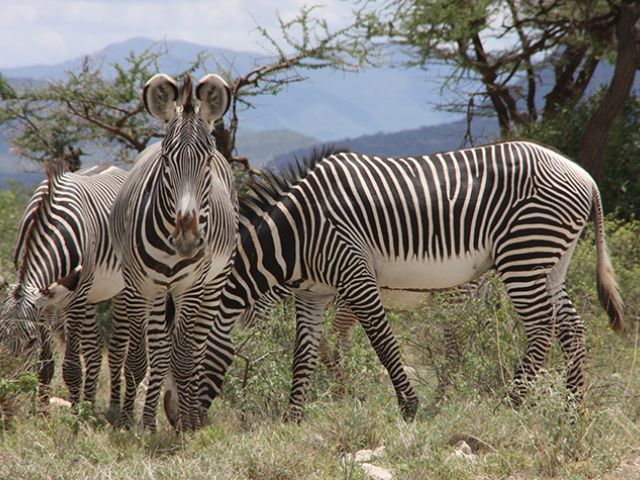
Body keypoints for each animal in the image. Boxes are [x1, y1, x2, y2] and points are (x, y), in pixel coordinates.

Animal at [0, 162, 127, 408]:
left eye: (30, 342)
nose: (6, 397)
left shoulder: (75, 301)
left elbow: (71, 368)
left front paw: (74, 415)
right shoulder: (45, 305)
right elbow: (46, 365)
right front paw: (42, 412)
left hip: (126, 290)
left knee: (120, 350)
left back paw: (115, 408)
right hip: (92, 295)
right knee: (94, 350)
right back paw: (89, 405)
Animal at [110, 72, 238, 432]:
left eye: (206, 161)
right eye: (167, 160)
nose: (187, 239)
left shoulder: (191, 286)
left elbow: (183, 356)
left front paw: (186, 423)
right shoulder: (139, 286)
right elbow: (139, 357)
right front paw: (132, 421)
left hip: (214, 284)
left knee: (197, 347)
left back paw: (190, 415)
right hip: (155, 292)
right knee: (158, 349)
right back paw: (149, 418)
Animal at [165, 140, 620, 424]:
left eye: (183, 358)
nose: (177, 424)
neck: (298, 236)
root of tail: (585, 177)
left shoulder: (355, 276)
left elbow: (383, 345)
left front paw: (409, 407)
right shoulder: (313, 294)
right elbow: (304, 354)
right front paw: (291, 419)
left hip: (523, 254)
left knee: (541, 328)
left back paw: (512, 403)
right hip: (550, 261)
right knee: (572, 328)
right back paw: (573, 409)